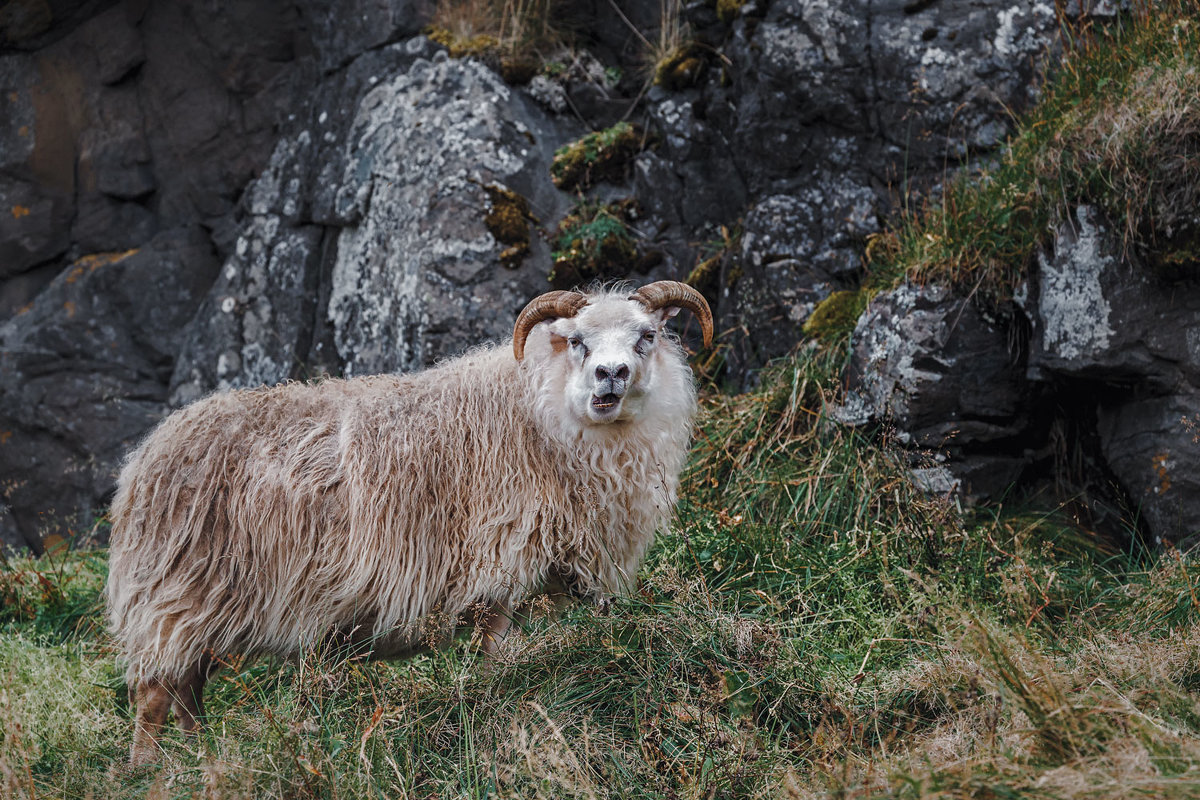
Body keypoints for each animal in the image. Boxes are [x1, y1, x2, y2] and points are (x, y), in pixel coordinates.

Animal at [105, 280, 710, 762]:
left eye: (647, 336)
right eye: (579, 341)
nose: (611, 375)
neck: (540, 413)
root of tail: (144, 457)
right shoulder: (495, 572)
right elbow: (495, 660)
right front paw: (494, 713)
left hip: (200, 611)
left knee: (187, 694)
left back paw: (197, 761)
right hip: (174, 596)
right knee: (155, 697)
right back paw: (149, 771)